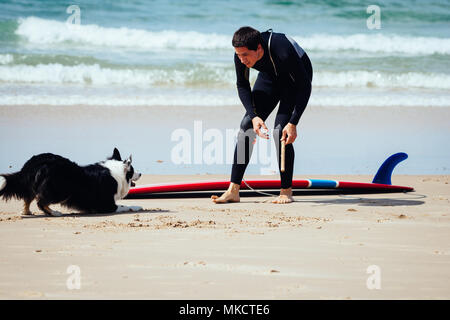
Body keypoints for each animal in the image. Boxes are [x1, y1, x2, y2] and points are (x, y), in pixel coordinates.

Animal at [0, 149, 142, 216]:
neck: (116, 171)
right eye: (133, 170)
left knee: (28, 197)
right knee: (41, 202)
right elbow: (124, 206)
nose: (140, 174)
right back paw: (54, 213)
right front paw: (137, 207)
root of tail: (34, 162)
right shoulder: (107, 205)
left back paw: (26, 212)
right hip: (61, 190)